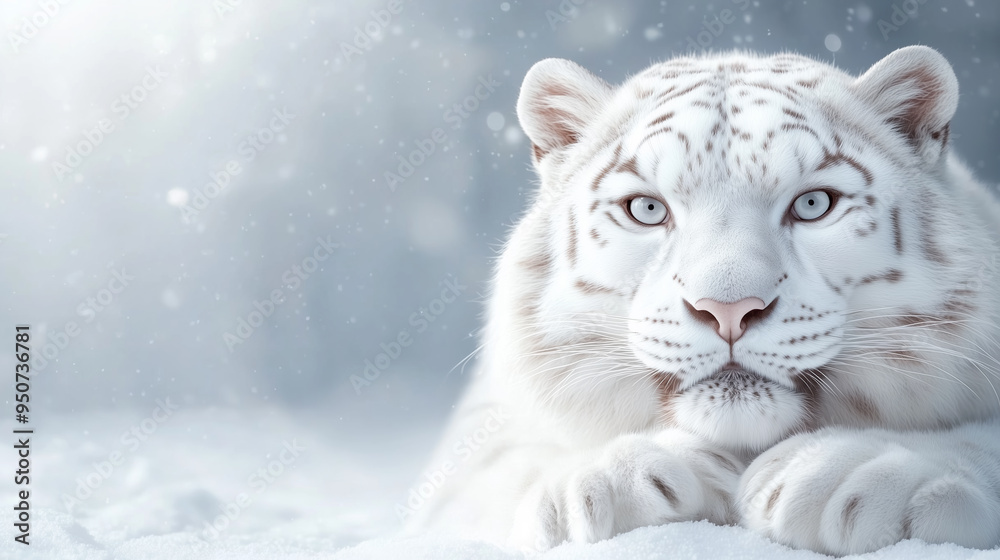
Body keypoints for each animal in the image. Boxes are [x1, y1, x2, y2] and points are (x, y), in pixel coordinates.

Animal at [404, 46, 1000, 555]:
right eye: (646, 209)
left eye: (813, 204)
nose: (729, 308)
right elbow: (496, 467)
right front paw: (610, 479)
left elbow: (980, 440)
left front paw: (841, 473)